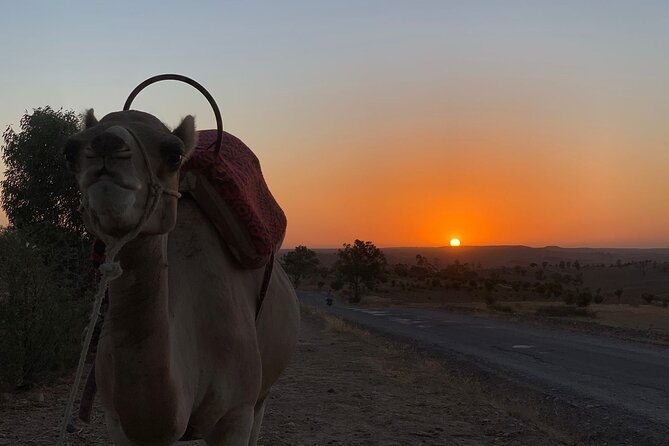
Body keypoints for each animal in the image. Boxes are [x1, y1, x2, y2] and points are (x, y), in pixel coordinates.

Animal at [64, 109, 300, 445]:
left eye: (173, 153)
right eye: (70, 150)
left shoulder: (235, 414)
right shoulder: (117, 420)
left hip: (262, 393)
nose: (106, 144)